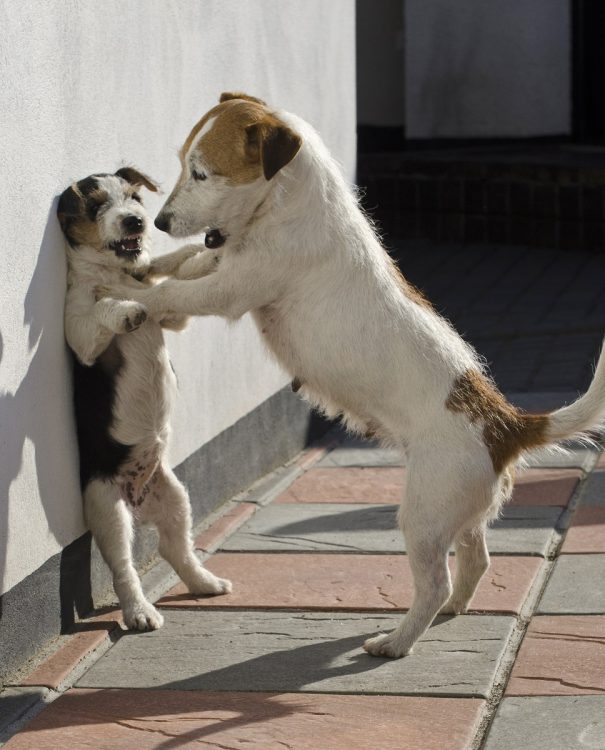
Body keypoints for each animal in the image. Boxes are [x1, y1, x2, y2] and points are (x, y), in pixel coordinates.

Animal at [57, 167, 231, 632]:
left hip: (174, 496)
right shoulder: (80, 335)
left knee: (176, 548)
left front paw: (199, 258)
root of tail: (136, 496)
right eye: (96, 205)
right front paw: (126, 309)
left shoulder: (172, 316)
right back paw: (139, 612)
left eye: (134, 197)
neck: (117, 274)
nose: (135, 221)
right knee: (123, 567)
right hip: (107, 508)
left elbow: (165, 276)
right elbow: (105, 308)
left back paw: (205, 582)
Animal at [96, 92, 604, 656]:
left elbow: (171, 293)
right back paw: (452, 610)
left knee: (435, 580)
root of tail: (504, 423)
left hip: (425, 512)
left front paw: (118, 294)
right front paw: (149, 266)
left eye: (203, 172)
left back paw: (397, 641)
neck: (287, 205)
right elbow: (188, 264)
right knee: (476, 560)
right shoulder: (222, 263)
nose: (160, 222)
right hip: (461, 510)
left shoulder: (233, 288)